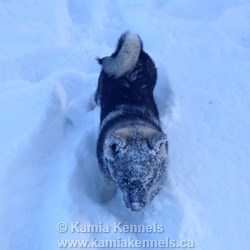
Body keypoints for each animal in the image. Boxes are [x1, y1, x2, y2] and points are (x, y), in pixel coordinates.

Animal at [94, 31, 168, 211]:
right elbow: (106, 193)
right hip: (102, 85)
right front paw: (102, 205)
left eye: (148, 179)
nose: (136, 207)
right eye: (124, 180)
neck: (134, 126)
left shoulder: (158, 182)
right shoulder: (107, 178)